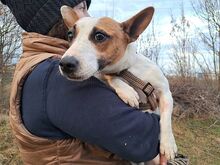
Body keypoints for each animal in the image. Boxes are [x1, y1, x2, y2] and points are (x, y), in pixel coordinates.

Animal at [58, 4, 177, 161]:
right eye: (70, 35)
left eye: (99, 36)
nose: (65, 64)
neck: (127, 71)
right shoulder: (105, 74)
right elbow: (111, 77)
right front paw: (128, 92)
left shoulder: (165, 93)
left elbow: (166, 119)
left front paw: (168, 144)